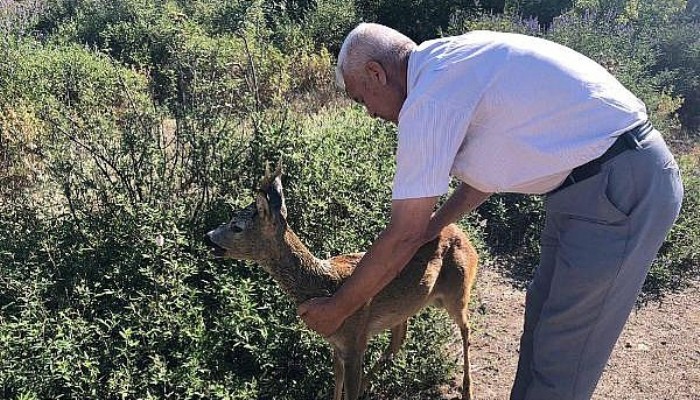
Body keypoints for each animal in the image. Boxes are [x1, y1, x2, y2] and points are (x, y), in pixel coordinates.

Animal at [202, 164, 476, 398]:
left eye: (236, 226)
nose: (207, 236)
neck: (324, 285)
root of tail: (466, 237)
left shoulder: (355, 342)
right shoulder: (337, 343)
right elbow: (337, 387)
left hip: (458, 289)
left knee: (466, 328)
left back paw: (467, 389)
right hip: (409, 304)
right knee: (399, 339)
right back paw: (370, 383)